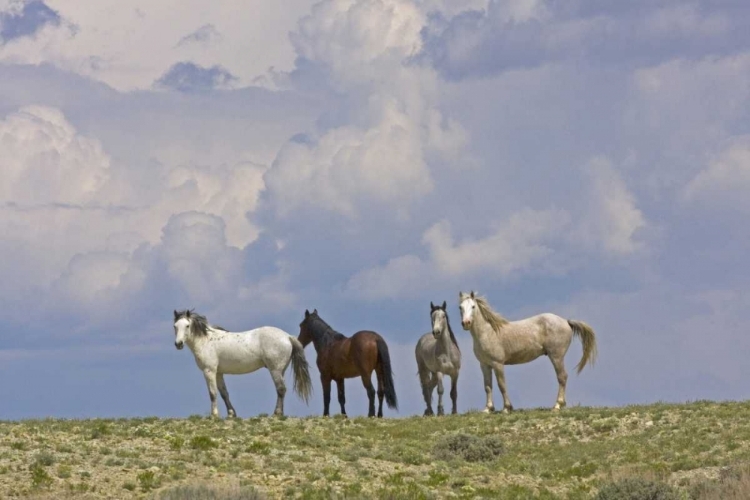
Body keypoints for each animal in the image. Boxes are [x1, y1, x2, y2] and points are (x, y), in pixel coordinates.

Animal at [174, 308, 314, 418]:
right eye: (175, 326)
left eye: (187, 326)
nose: (178, 344)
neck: (206, 340)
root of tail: (288, 337)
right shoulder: (218, 373)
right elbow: (224, 393)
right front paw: (231, 414)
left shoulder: (209, 371)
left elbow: (213, 393)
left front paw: (214, 415)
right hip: (281, 370)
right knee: (282, 390)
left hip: (275, 370)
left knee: (280, 389)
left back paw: (276, 413)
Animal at [458, 292, 600, 412]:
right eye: (460, 307)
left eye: (473, 306)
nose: (466, 323)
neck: (488, 332)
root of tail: (566, 321)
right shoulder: (485, 365)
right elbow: (488, 386)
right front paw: (488, 409)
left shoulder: (498, 364)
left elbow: (501, 385)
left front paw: (507, 408)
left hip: (556, 356)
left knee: (562, 377)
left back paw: (557, 405)